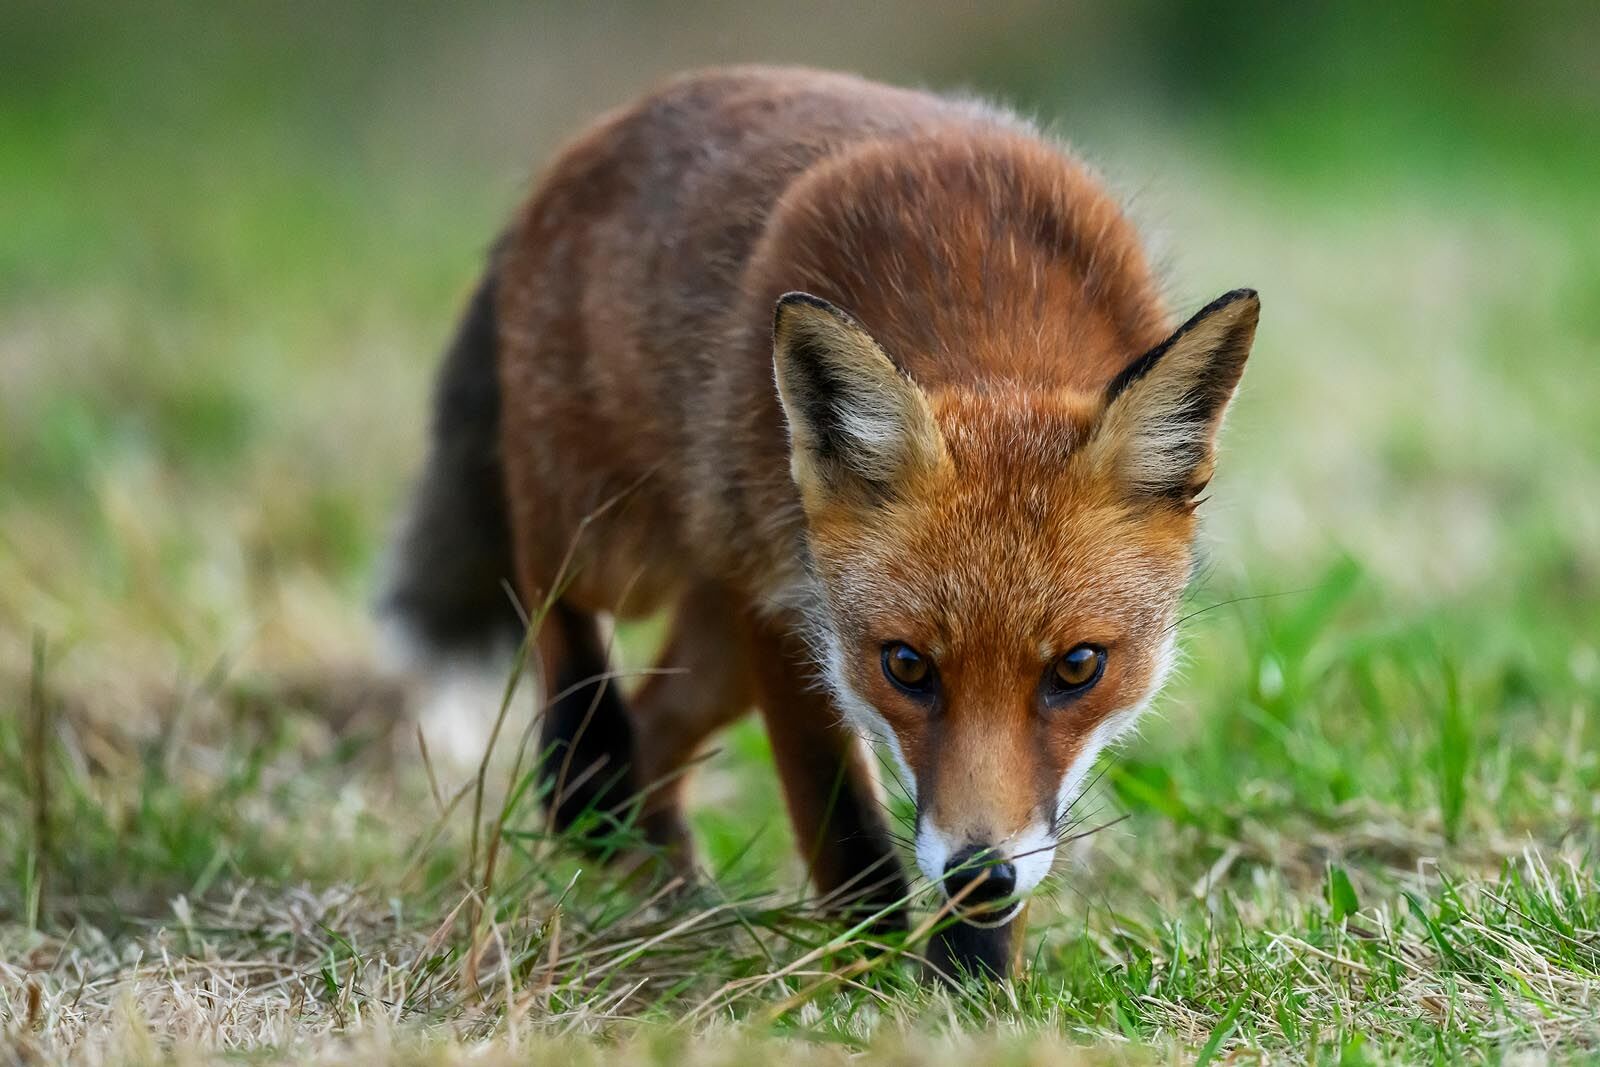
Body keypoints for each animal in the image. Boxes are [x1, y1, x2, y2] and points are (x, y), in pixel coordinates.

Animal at [382, 66, 1259, 980]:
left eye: (1079, 667)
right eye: (907, 665)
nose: (978, 873)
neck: (996, 314)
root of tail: (587, 139)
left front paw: (967, 978)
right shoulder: (779, 599)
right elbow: (842, 824)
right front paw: (868, 967)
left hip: (714, 643)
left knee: (653, 734)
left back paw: (661, 886)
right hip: (622, 550)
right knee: (549, 592)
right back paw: (591, 774)